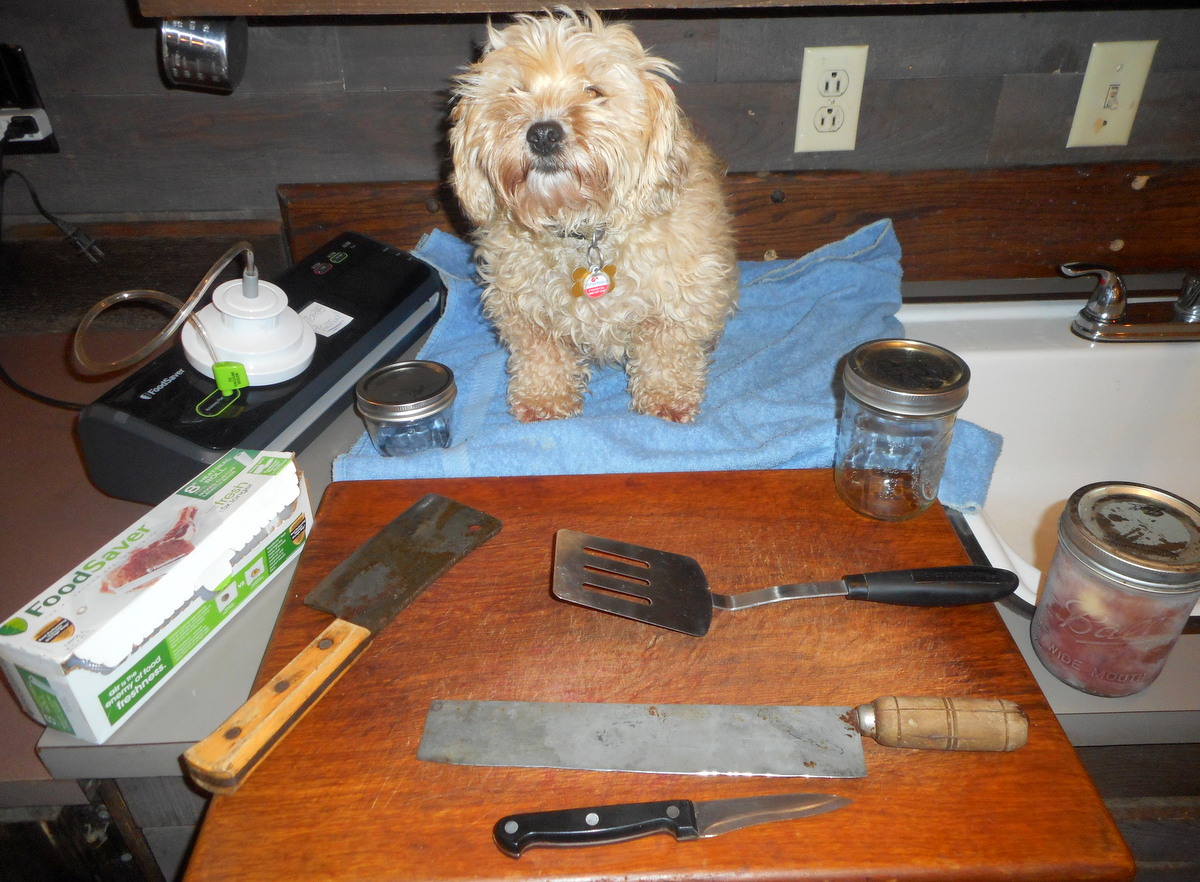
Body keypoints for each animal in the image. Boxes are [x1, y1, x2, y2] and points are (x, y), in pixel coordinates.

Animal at [448, 6, 734, 420]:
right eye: (516, 90)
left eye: (593, 91)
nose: (543, 134)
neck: (583, 227)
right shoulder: (521, 306)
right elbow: (541, 354)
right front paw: (543, 398)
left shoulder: (678, 300)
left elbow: (666, 350)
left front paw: (666, 396)